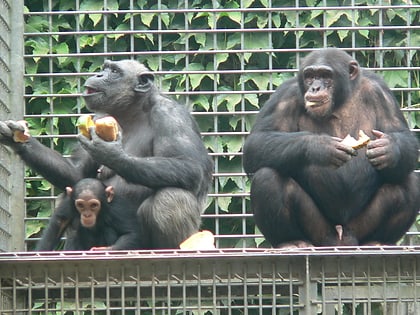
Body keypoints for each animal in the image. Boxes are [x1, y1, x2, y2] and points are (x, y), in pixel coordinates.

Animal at [0, 59, 213, 252]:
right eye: (105, 68)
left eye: (115, 71)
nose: (98, 74)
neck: (132, 111)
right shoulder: (99, 116)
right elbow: (77, 173)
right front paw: (17, 138)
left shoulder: (170, 115)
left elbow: (189, 165)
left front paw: (110, 153)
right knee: (67, 194)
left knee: (171, 197)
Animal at [243, 48, 420, 248]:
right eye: (310, 76)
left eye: (326, 75)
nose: (315, 87)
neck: (340, 101)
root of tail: (341, 240)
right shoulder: (285, 95)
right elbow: (256, 142)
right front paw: (321, 147)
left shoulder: (381, 93)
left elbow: (402, 135)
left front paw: (388, 150)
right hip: (320, 233)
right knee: (268, 177)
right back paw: (290, 241)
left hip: (359, 228)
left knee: (407, 181)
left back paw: (377, 241)